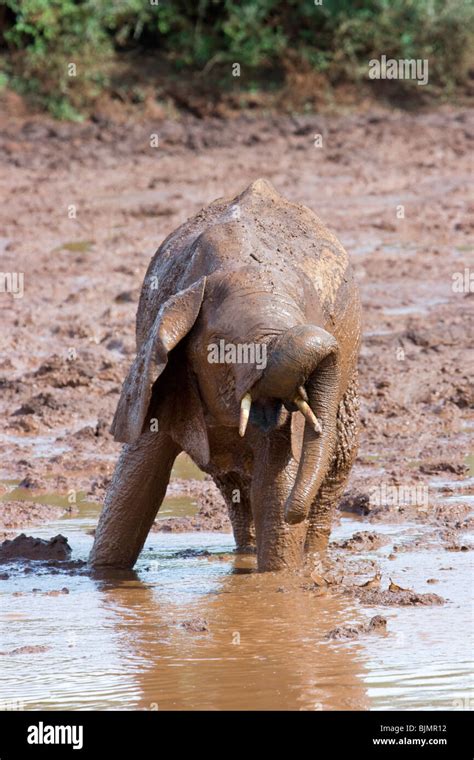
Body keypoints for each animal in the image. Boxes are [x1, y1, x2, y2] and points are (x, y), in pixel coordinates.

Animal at [89, 178, 362, 568]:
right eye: (221, 346)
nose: (296, 511)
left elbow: (275, 482)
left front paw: (284, 575)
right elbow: (134, 485)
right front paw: (101, 574)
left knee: (336, 461)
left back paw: (311, 563)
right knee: (233, 484)